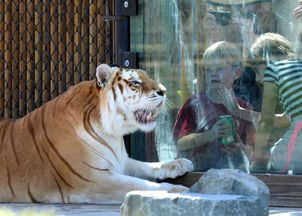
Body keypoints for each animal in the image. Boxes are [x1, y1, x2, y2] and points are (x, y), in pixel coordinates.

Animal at [0, 63, 193, 203]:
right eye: (135, 82)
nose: (164, 91)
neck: (112, 133)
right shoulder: (92, 180)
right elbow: (141, 185)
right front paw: (177, 191)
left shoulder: (121, 161)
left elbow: (146, 165)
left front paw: (179, 163)